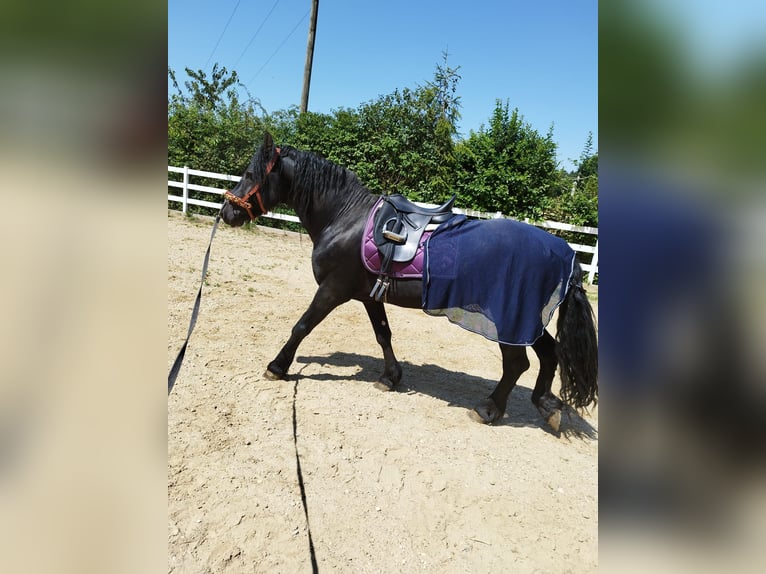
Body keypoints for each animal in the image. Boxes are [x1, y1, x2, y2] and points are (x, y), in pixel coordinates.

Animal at [220, 132, 597, 431]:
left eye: (250, 173)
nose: (227, 213)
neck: (344, 217)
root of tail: (565, 253)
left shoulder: (333, 289)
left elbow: (302, 326)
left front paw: (277, 366)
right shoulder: (368, 295)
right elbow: (383, 334)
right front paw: (390, 378)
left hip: (510, 320)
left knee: (518, 363)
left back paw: (489, 409)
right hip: (527, 321)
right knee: (550, 354)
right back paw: (547, 405)